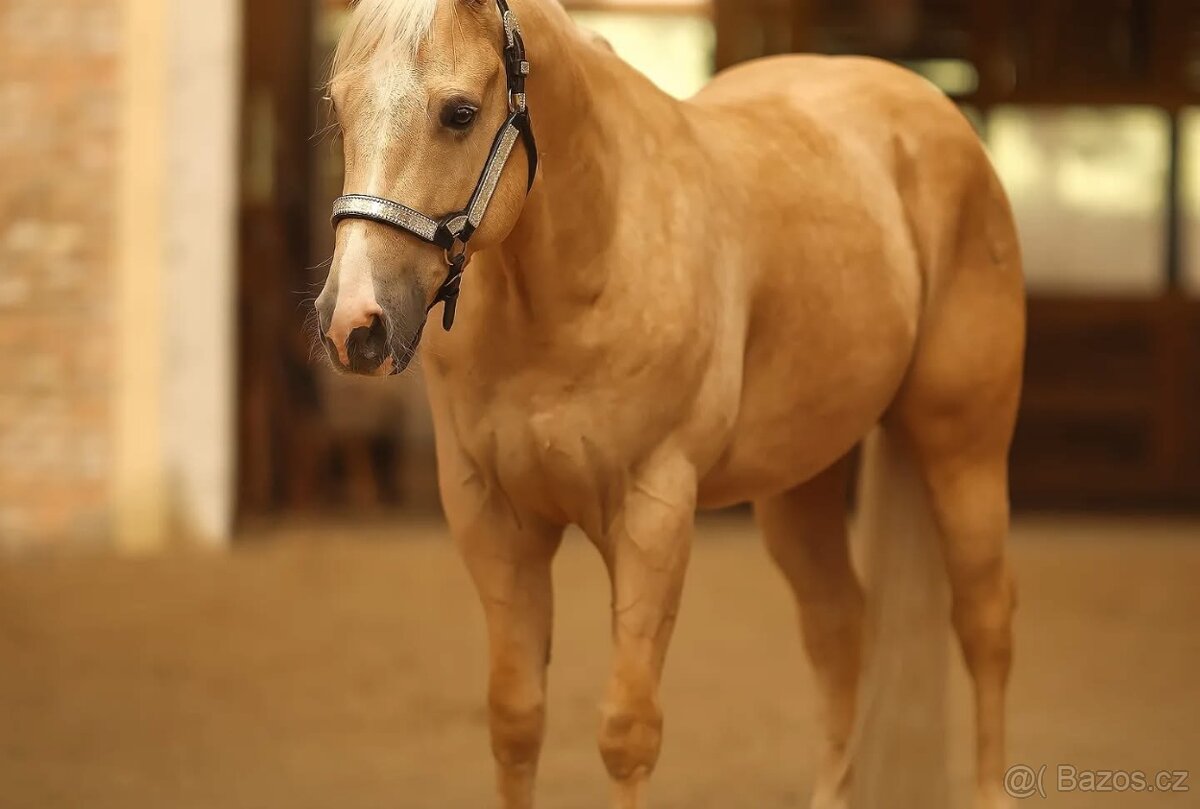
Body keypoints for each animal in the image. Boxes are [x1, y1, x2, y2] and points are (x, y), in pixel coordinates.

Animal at [313, 1, 1025, 807]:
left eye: (459, 113)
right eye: (338, 110)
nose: (353, 324)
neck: (585, 266)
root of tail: (933, 112)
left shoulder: (651, 511)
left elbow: (627, 733)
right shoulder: (489, 513)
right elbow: (516, 720)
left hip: (963, 450)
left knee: (985, 619)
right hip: (800, 482)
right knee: (840, 629)